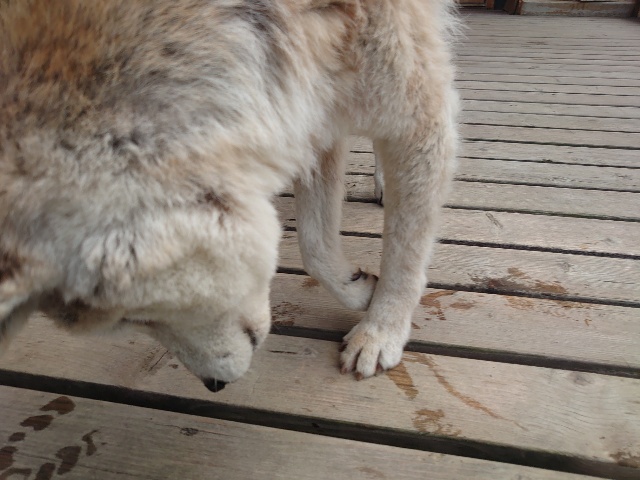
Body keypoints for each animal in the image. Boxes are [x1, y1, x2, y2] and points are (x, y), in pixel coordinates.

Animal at [0, 0, 459, 391]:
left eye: (138, 317)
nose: (213, 386)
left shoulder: (419, 119)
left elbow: (404, 254)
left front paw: (381, 330)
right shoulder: (311, 110)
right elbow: (313, 245)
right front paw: (358, 288)